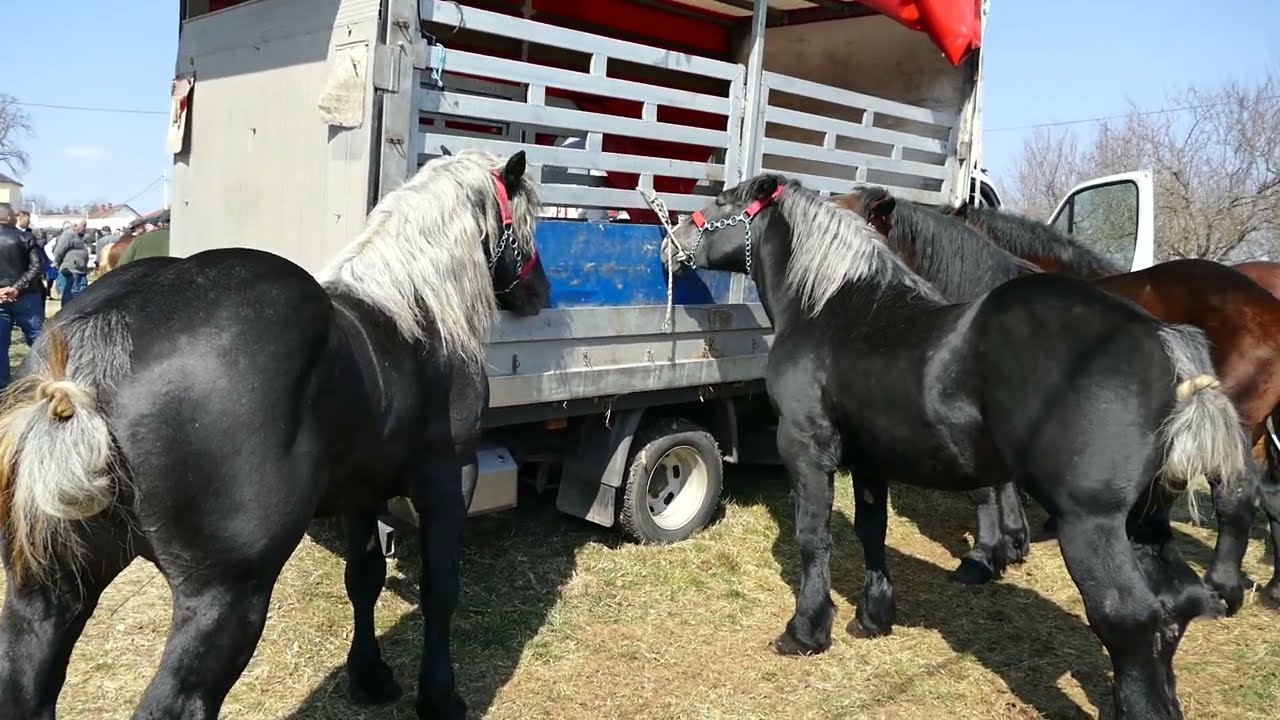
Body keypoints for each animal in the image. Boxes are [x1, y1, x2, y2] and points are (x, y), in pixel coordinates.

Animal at [0, 149, 550, 720]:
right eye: (529, 222)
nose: (540, 293)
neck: (418, 315)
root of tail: (94, 348)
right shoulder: (450, 478)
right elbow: (442, 589)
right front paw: (440, 698)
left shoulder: (362, 492)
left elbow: (364, 578)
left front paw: (370, 676)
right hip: (224, 598)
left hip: (47, 591)